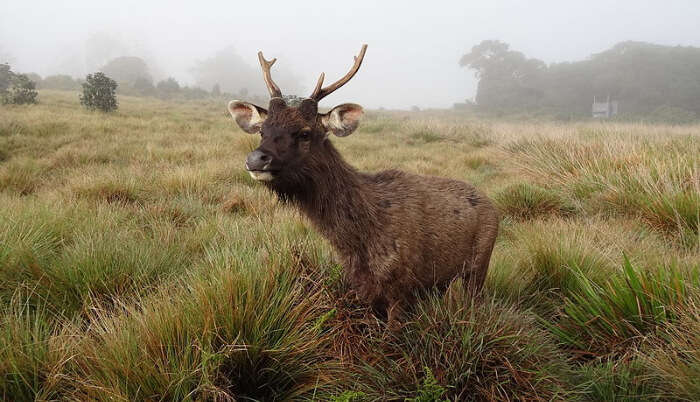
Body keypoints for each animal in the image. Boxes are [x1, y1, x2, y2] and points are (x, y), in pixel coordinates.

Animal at [228, 44, 498, 326]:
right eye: (263, 131)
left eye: (304, 132)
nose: (256, 159)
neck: (359, 242)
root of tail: (492, 205)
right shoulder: (364, 288)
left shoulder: (402, 287)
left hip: (480, 264)